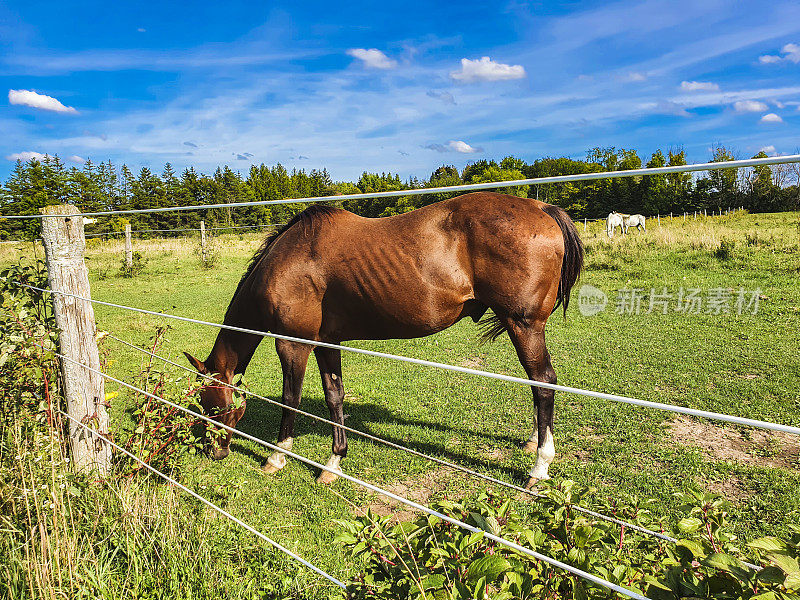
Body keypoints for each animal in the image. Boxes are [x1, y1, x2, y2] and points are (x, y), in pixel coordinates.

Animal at [185, 190, 584, 490]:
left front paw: (277, 456)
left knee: (543, 383)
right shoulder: (328, 343)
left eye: (208, 405)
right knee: (540, 386)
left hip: (524, 325)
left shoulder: (292, 344)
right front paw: (334, 462)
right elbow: (334, 396)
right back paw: (534, 443)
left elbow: (290, 399)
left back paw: (539, 467)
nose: (212, 451)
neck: (287, 261)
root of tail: (541, 209)